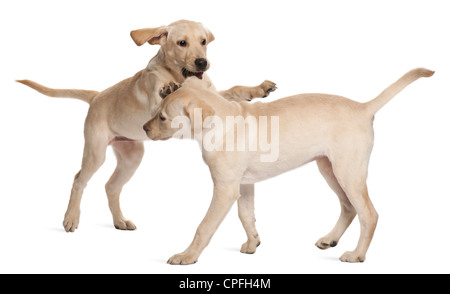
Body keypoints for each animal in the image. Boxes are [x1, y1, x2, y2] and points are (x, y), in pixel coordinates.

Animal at [143, 68, 432, 262]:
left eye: (163, 117)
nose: (144, 128)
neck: (223, 121)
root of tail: (363, 107)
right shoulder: (243, 185)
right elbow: (246, 215)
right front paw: (253, 242)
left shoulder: (225, 189)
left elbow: (204, 226)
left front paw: (187, 256)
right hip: (329, 169)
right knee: (349, 207)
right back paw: (330, 239)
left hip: (348, 172)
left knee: (368, 214)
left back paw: (357, 254)